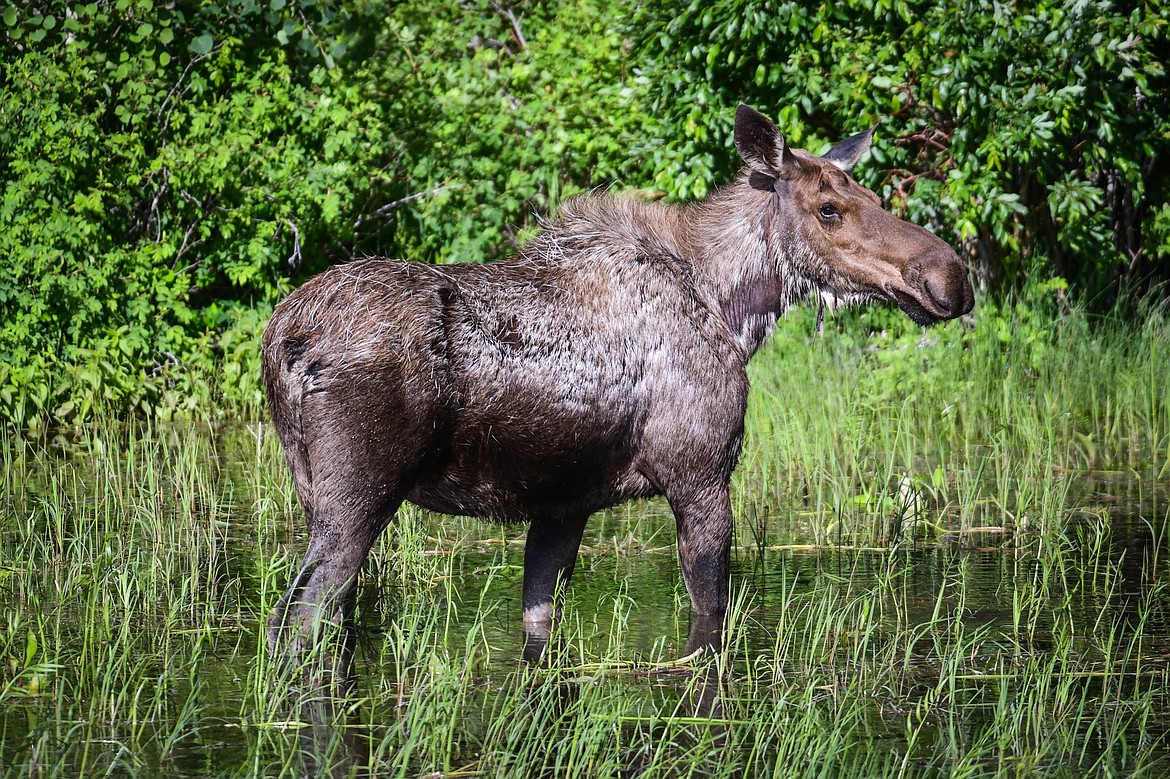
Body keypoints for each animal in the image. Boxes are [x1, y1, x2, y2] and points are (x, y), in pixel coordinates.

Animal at [260, 102, 973, 673]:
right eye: (829, 208)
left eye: (873, 198)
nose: (951, 276)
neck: (730, 308)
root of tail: (282, 343)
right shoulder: (701, 475)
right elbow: (708, 623)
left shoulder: (562, 504)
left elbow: (538, 624)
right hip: (358, 497)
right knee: (296, 621)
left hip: (313, 491)